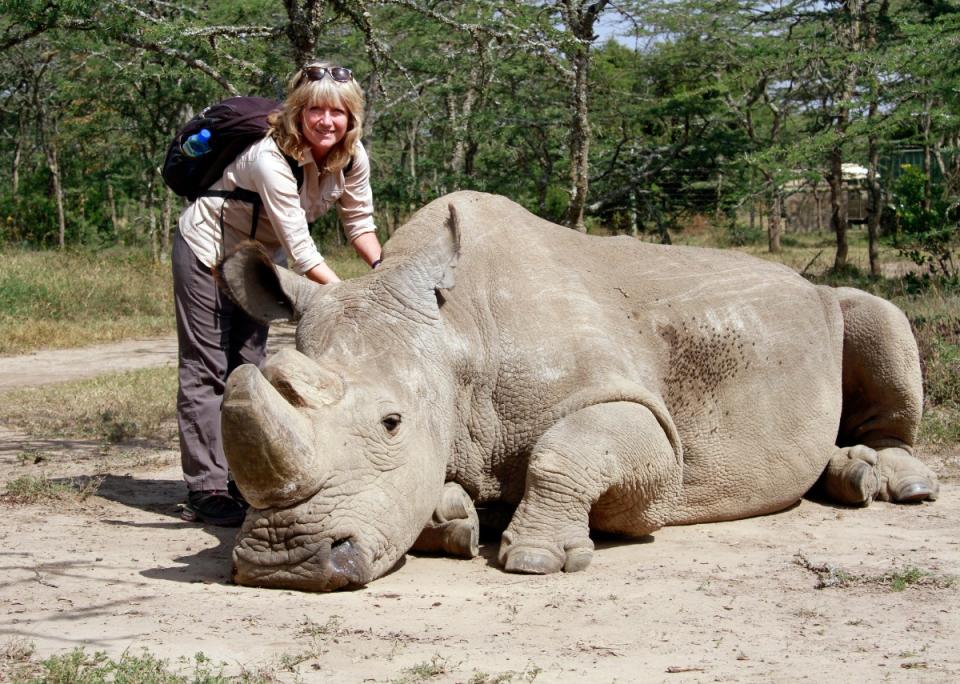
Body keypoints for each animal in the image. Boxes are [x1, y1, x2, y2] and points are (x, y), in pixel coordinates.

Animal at [216, 190, 936, 592]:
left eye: (392, 423)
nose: (283, 565)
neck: (454, 339)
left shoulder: (643, 417)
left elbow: (571, 448)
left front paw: (537, 557)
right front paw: (454, 519)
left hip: (832, 302)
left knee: (877, 316)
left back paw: (897, 485)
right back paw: (852, 478)